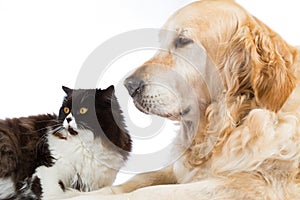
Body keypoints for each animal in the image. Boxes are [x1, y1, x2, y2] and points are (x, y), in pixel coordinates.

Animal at [0, 85, 131, 199]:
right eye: (66, 109)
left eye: (83, 110)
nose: (68, 119)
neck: (86, 145)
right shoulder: (45, 170)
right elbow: (59, 194)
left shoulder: (99, 183)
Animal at [66, 0, 300, 200]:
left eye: (183, 40)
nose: (129, 85)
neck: (231, 121)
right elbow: (139, 179)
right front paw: (77, 193)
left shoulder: (253, 185)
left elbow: (147, 193)